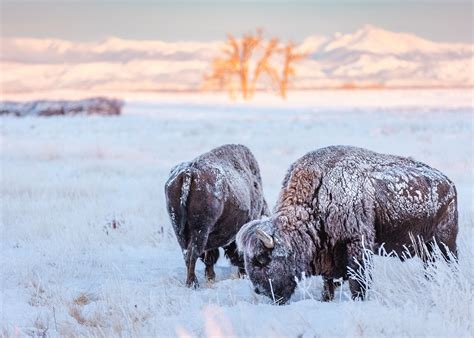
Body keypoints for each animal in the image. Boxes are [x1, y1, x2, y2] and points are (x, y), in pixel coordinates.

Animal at [165, 143, 268, 288]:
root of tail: (189, 172)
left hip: (180, 229)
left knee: (187, 253)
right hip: (200, 230)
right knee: (193, 253)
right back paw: (193, 283)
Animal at [239, 145, 458, 304]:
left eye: (262, 258)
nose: (259, 290)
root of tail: (449, 183)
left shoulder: (356, 243)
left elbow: (357, 279)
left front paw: (358, 299)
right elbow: (328, 282)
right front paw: (325, 299)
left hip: (446, 242)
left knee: (451, 263)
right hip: (426, 247)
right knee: (430, 267)